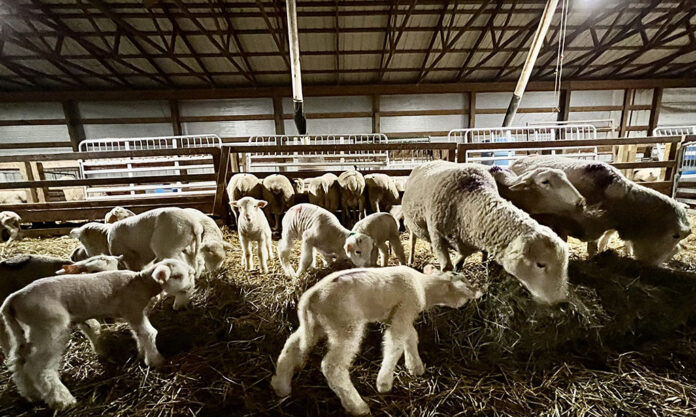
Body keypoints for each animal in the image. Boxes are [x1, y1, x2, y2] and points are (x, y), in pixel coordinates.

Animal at [1, 258, 195, 410]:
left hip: (25, 330)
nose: (192, 282)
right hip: (49, 326)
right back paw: (63, 401)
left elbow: (139, 334)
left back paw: (31, 394)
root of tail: (12, 301)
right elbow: (148, 333)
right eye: (177, 276)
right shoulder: (132, 308)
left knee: (19, 362)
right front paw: (156, 361)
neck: (140, 283)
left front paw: (142, 354)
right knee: (38, 367)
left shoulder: (133, 314)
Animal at [70, 207, 203, 309]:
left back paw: (179, 302)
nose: (73, 257)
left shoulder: (130, 257)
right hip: (187, 249)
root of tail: (194, 225)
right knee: (192, 267)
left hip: (167, 247)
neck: (106, 238)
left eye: (81, 240)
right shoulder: (144, 260)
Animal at [270, 264, 485, 415]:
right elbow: (395, 342)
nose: (479, 292)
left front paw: (415, 366)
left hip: (315, 325)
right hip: (345, 325)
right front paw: (384, 383)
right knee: (332, 366)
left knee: (291, 347)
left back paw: (281, 386)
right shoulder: (406, 306)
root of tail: (310, 298)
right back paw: (357, 406)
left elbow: (411, 336)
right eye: (465, 283)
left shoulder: (399, 314)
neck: (424, 286)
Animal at [402, 160, 569, 305]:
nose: (560, 302)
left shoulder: (466, 244)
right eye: (540, 264)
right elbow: (447, 267)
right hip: (412, 223)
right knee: (413, 240)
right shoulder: (438, 236)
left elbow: (458, 264)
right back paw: (410, 260)